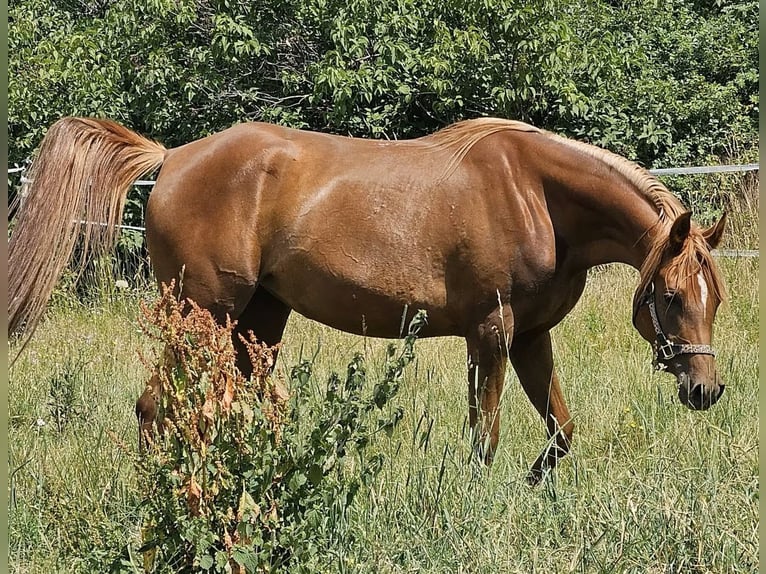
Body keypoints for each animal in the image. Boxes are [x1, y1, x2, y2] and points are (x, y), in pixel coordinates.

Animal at [8, 116, 727, 485]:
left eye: (713, 298)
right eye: (669, 295)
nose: (706, 390)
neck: (536, 194)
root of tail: (173, 156)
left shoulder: (529, 336)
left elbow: (560, 429)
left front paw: (532, 485)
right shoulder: (490, 332)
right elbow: (485, 433)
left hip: (258, 321)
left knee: (236, 407)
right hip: (202, 315)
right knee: (161, 407)